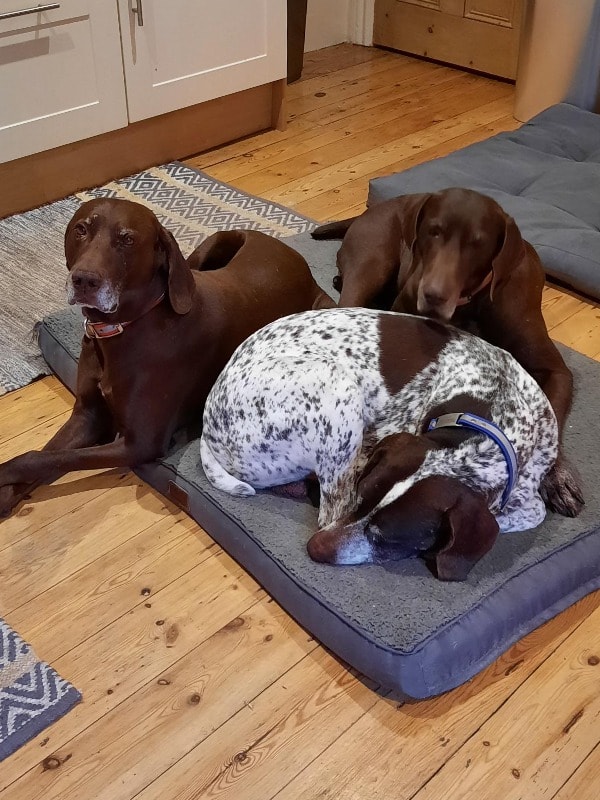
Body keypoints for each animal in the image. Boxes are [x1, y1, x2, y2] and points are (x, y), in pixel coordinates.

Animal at [0, 198, 333, 517]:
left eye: (127, 239)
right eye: (81, 229)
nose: (84, 280)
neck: (126, 326)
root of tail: (298, 261)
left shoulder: (139, 444)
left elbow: (39, 458)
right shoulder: (88, 416)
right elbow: (47, 454)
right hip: (209, 247)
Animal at [200, 307, 561, 581]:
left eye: (384, 538)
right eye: (361, 498)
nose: (314, 548)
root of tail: (207, 427)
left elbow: (530, 509)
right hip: (339, 389)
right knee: (328, 509)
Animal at [311, 188, 582, 517]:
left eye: (477, 244)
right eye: (433, 232)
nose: (433, 295)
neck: (473, 301)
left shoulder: (554, 370)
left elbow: (551, 416)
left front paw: (557, 477)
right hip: (372, 260)